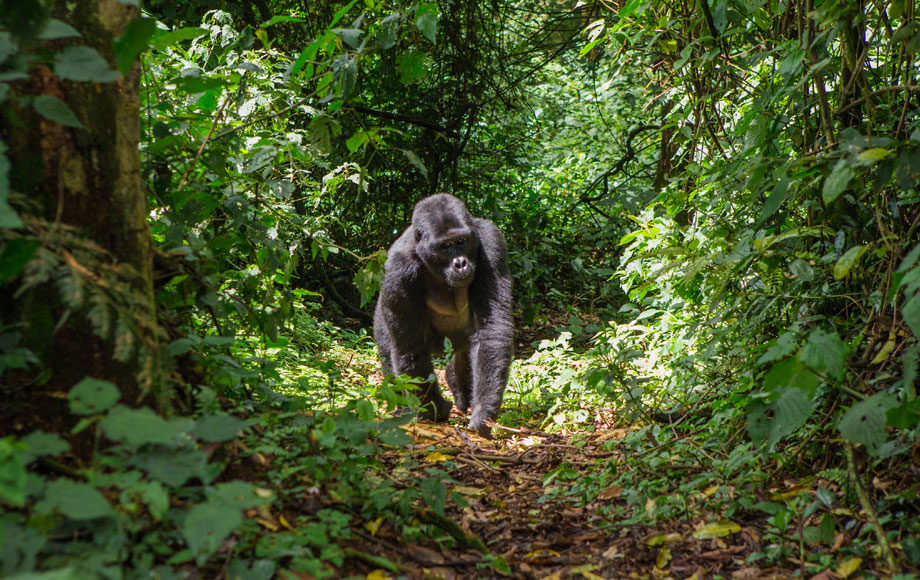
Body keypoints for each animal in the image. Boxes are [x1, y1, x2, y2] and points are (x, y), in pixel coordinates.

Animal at [376, 193, 516, 438]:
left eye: (462, 242)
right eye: (444, 246)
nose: (460, 264)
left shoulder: (491, 242)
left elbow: (491, 329)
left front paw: (483, 412)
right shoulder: (397, 269)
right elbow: (410, 346)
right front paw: (435, 409)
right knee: (390, 349)